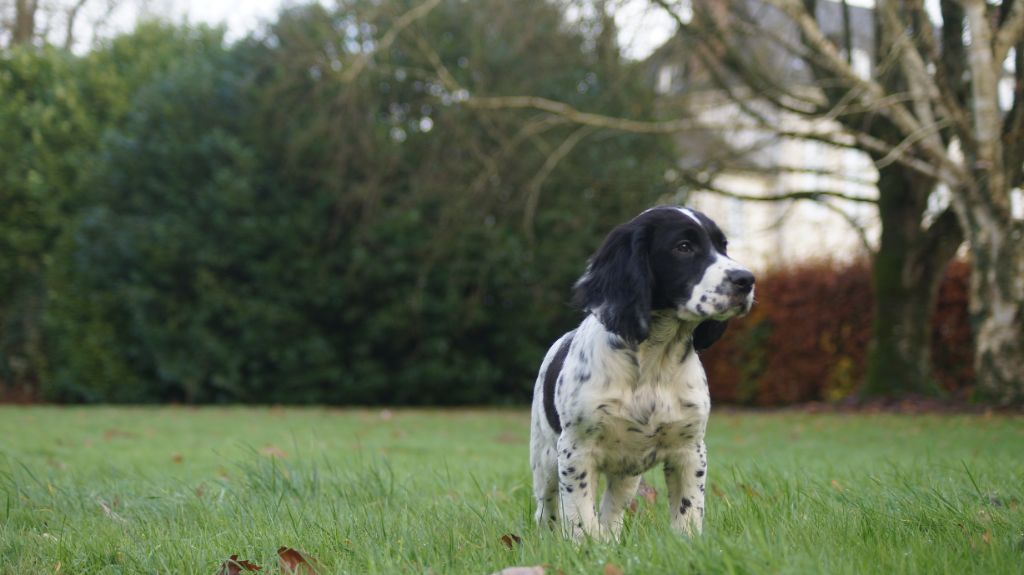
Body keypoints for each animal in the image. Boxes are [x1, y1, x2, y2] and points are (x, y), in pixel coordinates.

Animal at [532, 204, 757, 536]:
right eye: (684, 247)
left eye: (723, 246)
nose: (747, 279)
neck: (653, 361)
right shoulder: (577, 451)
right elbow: (580, 518)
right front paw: (585, 545)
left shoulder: (689, 450)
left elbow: (688, 513)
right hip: (545, 457)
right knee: (546, 509)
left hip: (627, 473)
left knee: (611, 512)